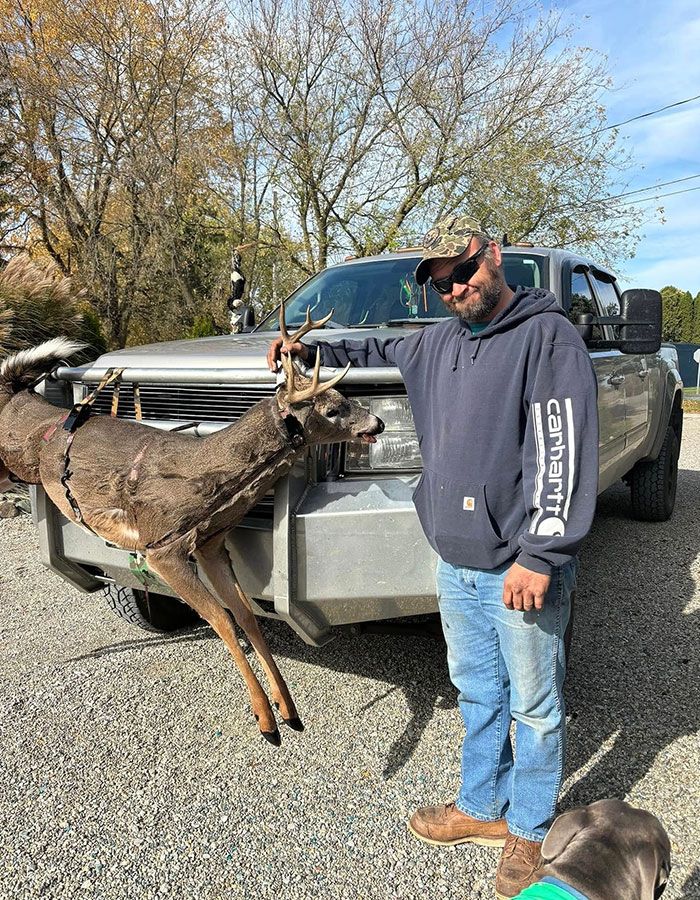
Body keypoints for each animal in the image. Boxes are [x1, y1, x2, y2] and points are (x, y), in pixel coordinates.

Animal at [0, 307, 384, 745]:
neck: (204, 476)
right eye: (332, 409)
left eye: (348, 399)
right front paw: (265, 721)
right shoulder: (160, 548)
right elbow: (222, 621)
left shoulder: (211, 544)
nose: (379, 422)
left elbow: (246, 615)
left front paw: (288, 711)